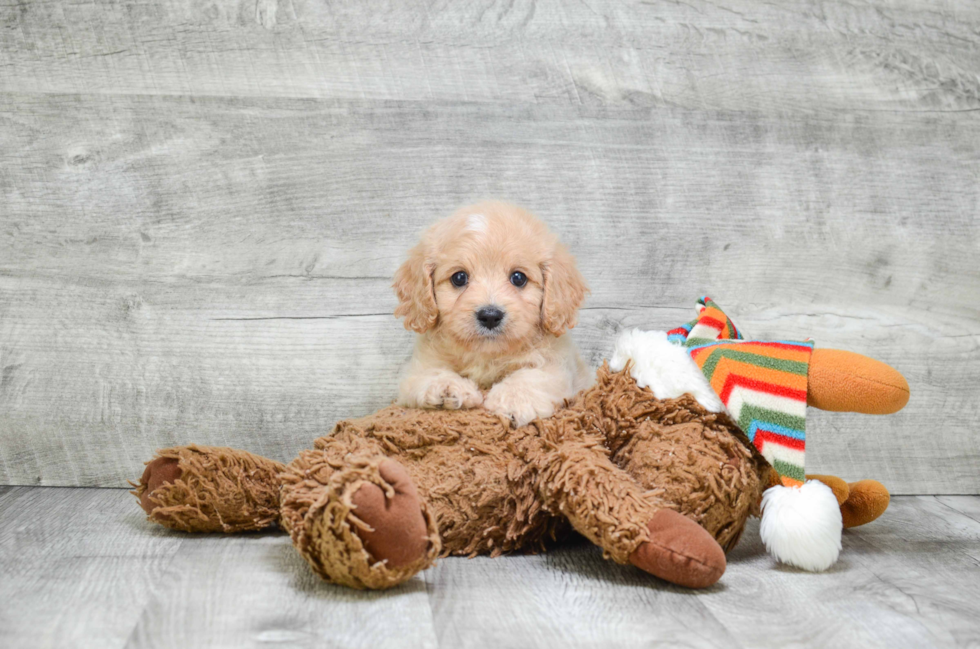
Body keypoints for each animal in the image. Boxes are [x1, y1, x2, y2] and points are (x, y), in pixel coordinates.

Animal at [390, 200, 588, 428]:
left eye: (518, 278)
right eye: (459, 277)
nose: (490, 316)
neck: (487, 355)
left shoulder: (557, 367)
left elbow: (532, 376)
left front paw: (512, 400)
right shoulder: (417, 369)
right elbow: (428, 374)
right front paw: (448, 388)